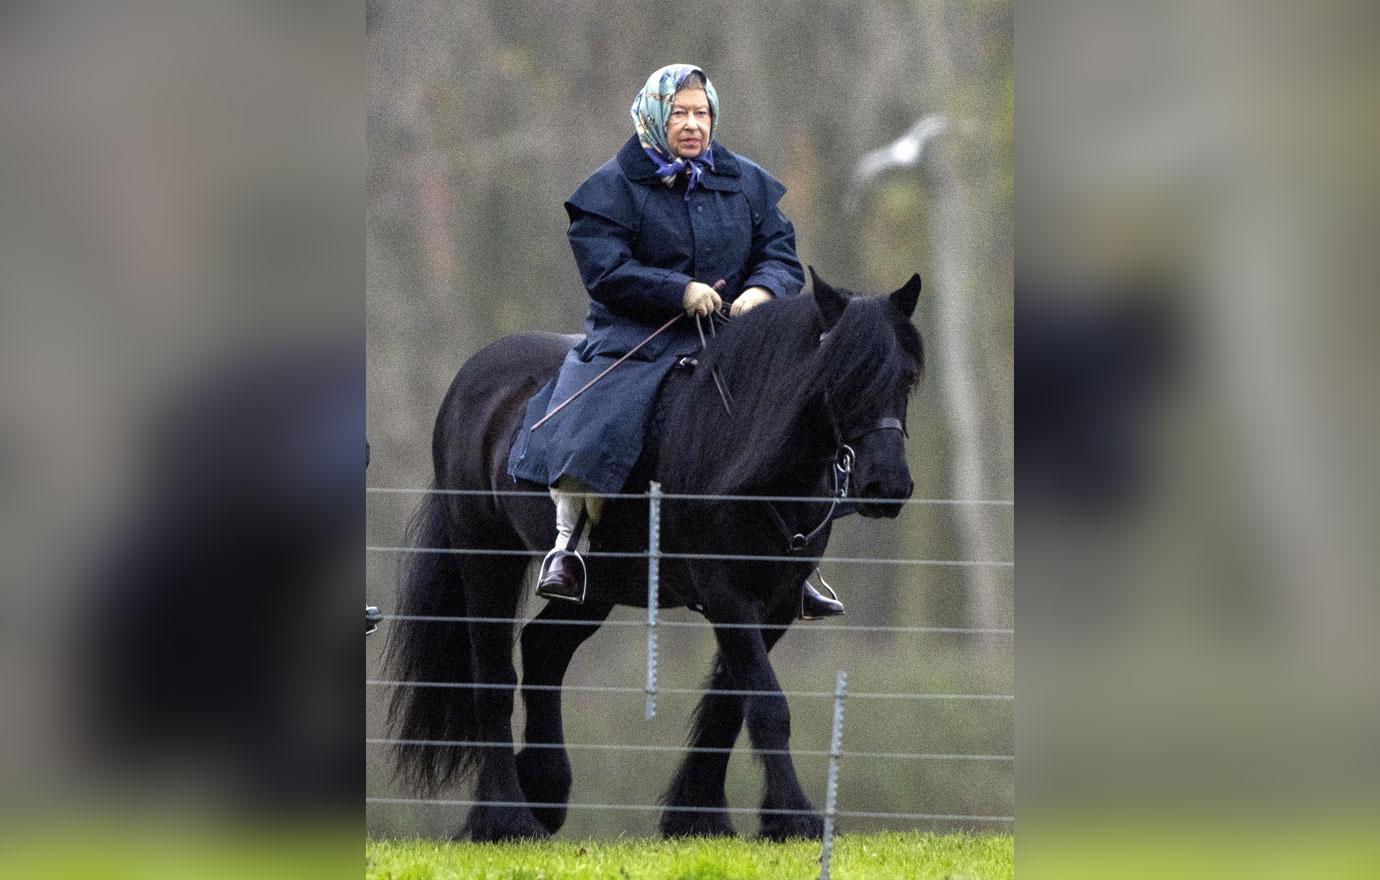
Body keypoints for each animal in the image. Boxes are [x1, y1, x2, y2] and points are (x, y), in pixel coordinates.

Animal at [389, 273, 921, 844]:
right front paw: (793, 816)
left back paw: (546, 789)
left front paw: (698, 814)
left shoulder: (774, 603)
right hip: (487, 557)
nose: (886, 486)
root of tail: (473, 378)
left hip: (595, 585)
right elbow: (766, 705)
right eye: (841, 376)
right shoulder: (726, 596)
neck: (741, 448)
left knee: (544, 649)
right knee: (492, 679)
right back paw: (506, 816)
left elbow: (730, 702)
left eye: (908, 378)